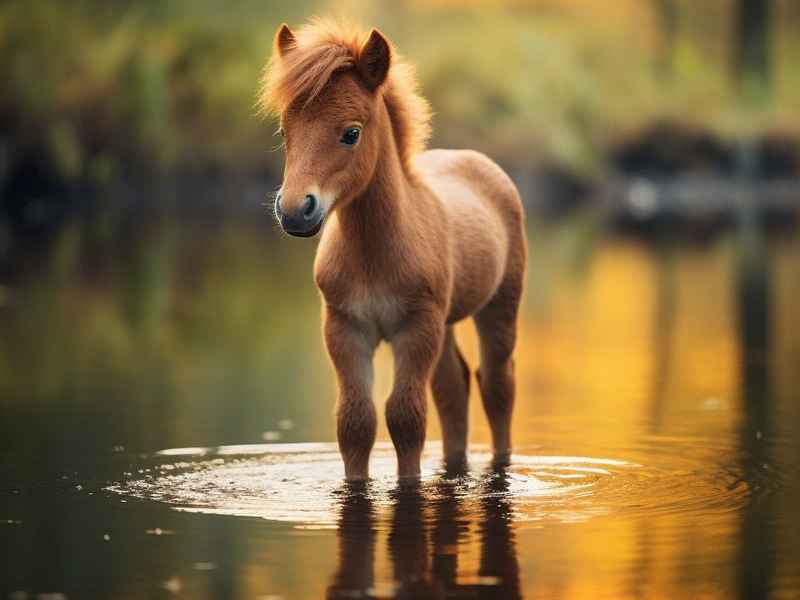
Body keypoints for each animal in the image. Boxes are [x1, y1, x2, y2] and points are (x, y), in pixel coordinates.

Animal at [260, 19, 526, 480]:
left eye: (351, 133)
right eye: (283, 131)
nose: (295, 210)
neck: (374, 256)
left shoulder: (415, 326)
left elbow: (406, 418)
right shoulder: (345, 327)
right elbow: (355, 420)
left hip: (498, 305)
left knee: (496, 386)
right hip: (446, 322)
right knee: (453, 388)